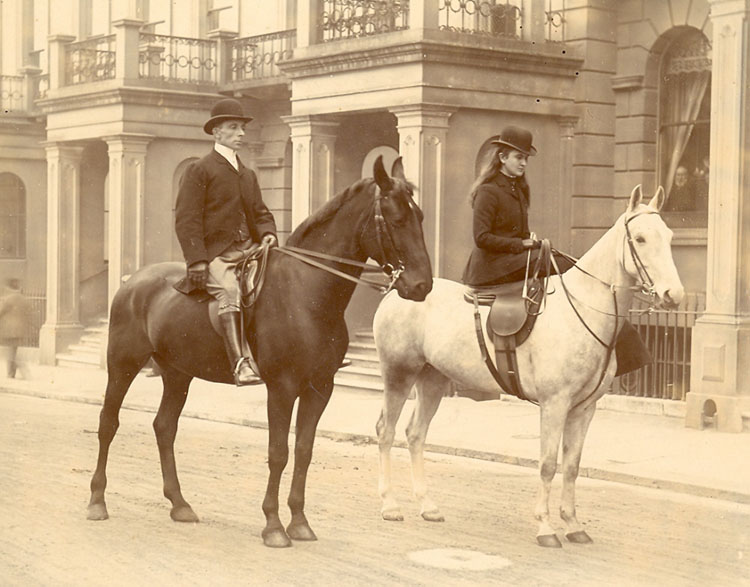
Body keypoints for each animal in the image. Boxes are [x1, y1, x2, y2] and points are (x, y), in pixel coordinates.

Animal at [86, 156, 434, 548]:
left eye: (420, 216)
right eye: (396, 219)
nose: (422, 285)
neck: (306, 292)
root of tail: (131, 282)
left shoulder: (319, 388)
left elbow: (303, 451)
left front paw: (299, 522)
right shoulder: (281, 388)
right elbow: (278, 453)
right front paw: (273, 525)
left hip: (177, 373)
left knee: (164, 427)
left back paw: (179, 504)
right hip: (123, 364)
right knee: (108, 423)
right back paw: (97, 501)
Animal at [376, 185, 688, 548]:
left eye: (669, 236)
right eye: (639, 238)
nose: (673, 294)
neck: (582, 308)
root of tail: (397, 289)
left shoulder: (585, 408)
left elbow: (572, 465)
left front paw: (573, 524)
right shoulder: (555, 404)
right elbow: (548, 464)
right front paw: (546, 527)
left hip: (433, 379)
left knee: (415, 434)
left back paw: (427, 506)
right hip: (398, 374)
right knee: (386, 432)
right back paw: (390, 505)